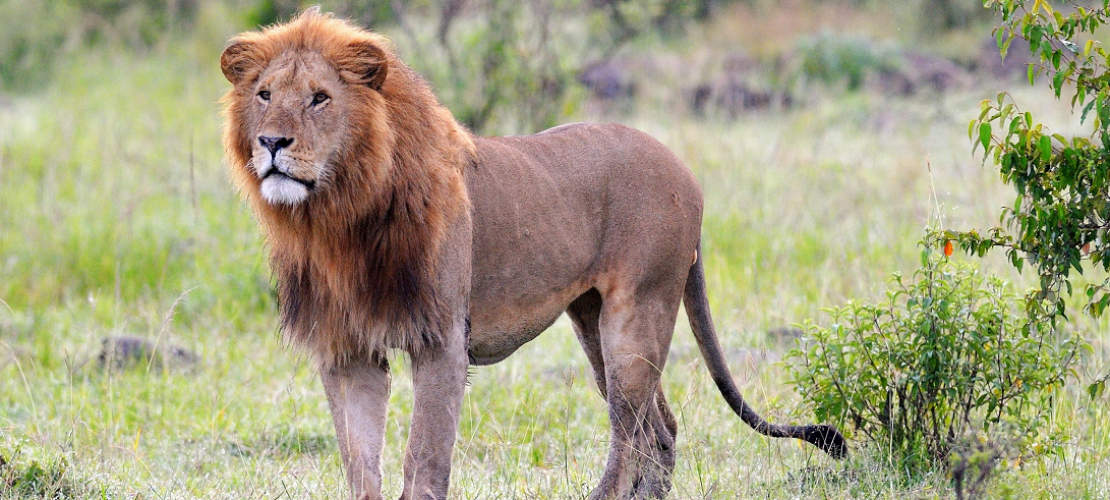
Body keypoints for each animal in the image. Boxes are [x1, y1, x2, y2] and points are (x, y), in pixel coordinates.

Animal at [220, 8, 846, 500]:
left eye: (320, 99)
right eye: (264, 95)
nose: (272, 142)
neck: (336, 219)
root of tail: (683, 169)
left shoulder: (441, 341)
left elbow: (423, 460)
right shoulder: (346, 350)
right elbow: (359, 464)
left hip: (637, 312)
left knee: (629, 430)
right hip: (592, 320)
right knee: (659, 429)